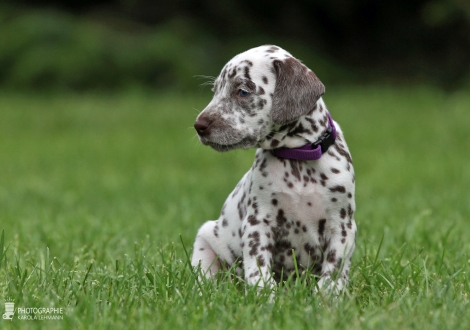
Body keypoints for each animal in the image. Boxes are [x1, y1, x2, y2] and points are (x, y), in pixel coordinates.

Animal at [191, 45, 356, 292]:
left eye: (242, 92)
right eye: (216, 90)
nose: (199, 126)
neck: (298, 159)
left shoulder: (342, 226)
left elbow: (334, 269)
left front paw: (327, 297)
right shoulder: (258, 222)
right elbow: (258, 265)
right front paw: (263, 295)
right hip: (205, 240)